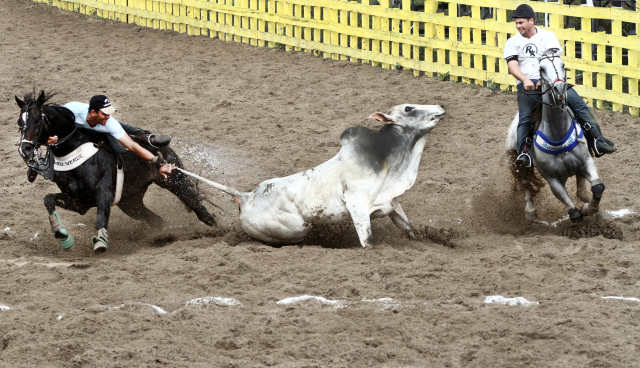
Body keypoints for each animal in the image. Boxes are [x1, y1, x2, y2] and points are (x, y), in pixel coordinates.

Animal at [16, 91, 216, 253]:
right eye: (20, 122)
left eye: (37, 120)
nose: (25, 149)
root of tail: (163, 148)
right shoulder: (78, 201)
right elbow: (48, 199)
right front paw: (62, 235)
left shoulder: (103, 193)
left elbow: (101, 217)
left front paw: (100, 242)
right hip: (131, 203)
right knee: (156, 220)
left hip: (176, 181)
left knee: (199, 208)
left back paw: (216, 229)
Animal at [182, 103, 444, 247]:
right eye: (409, 108)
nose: (441, 108)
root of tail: (246, 196)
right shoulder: (358, 207)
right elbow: (367, 240)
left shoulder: (391, 203)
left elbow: (408, 228)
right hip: (297, 228)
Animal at [504, 50, 604, 223]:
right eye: (541, 68)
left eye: (563, 65)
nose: (559, 89)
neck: (558, 134)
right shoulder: (552, 179)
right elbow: (574, 213)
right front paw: (584, 210)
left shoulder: (585, 161)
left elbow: (597, 186)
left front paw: (590, 207)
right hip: (517, 160)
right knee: (525, 183)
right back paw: (530, 212)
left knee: (581, 189)